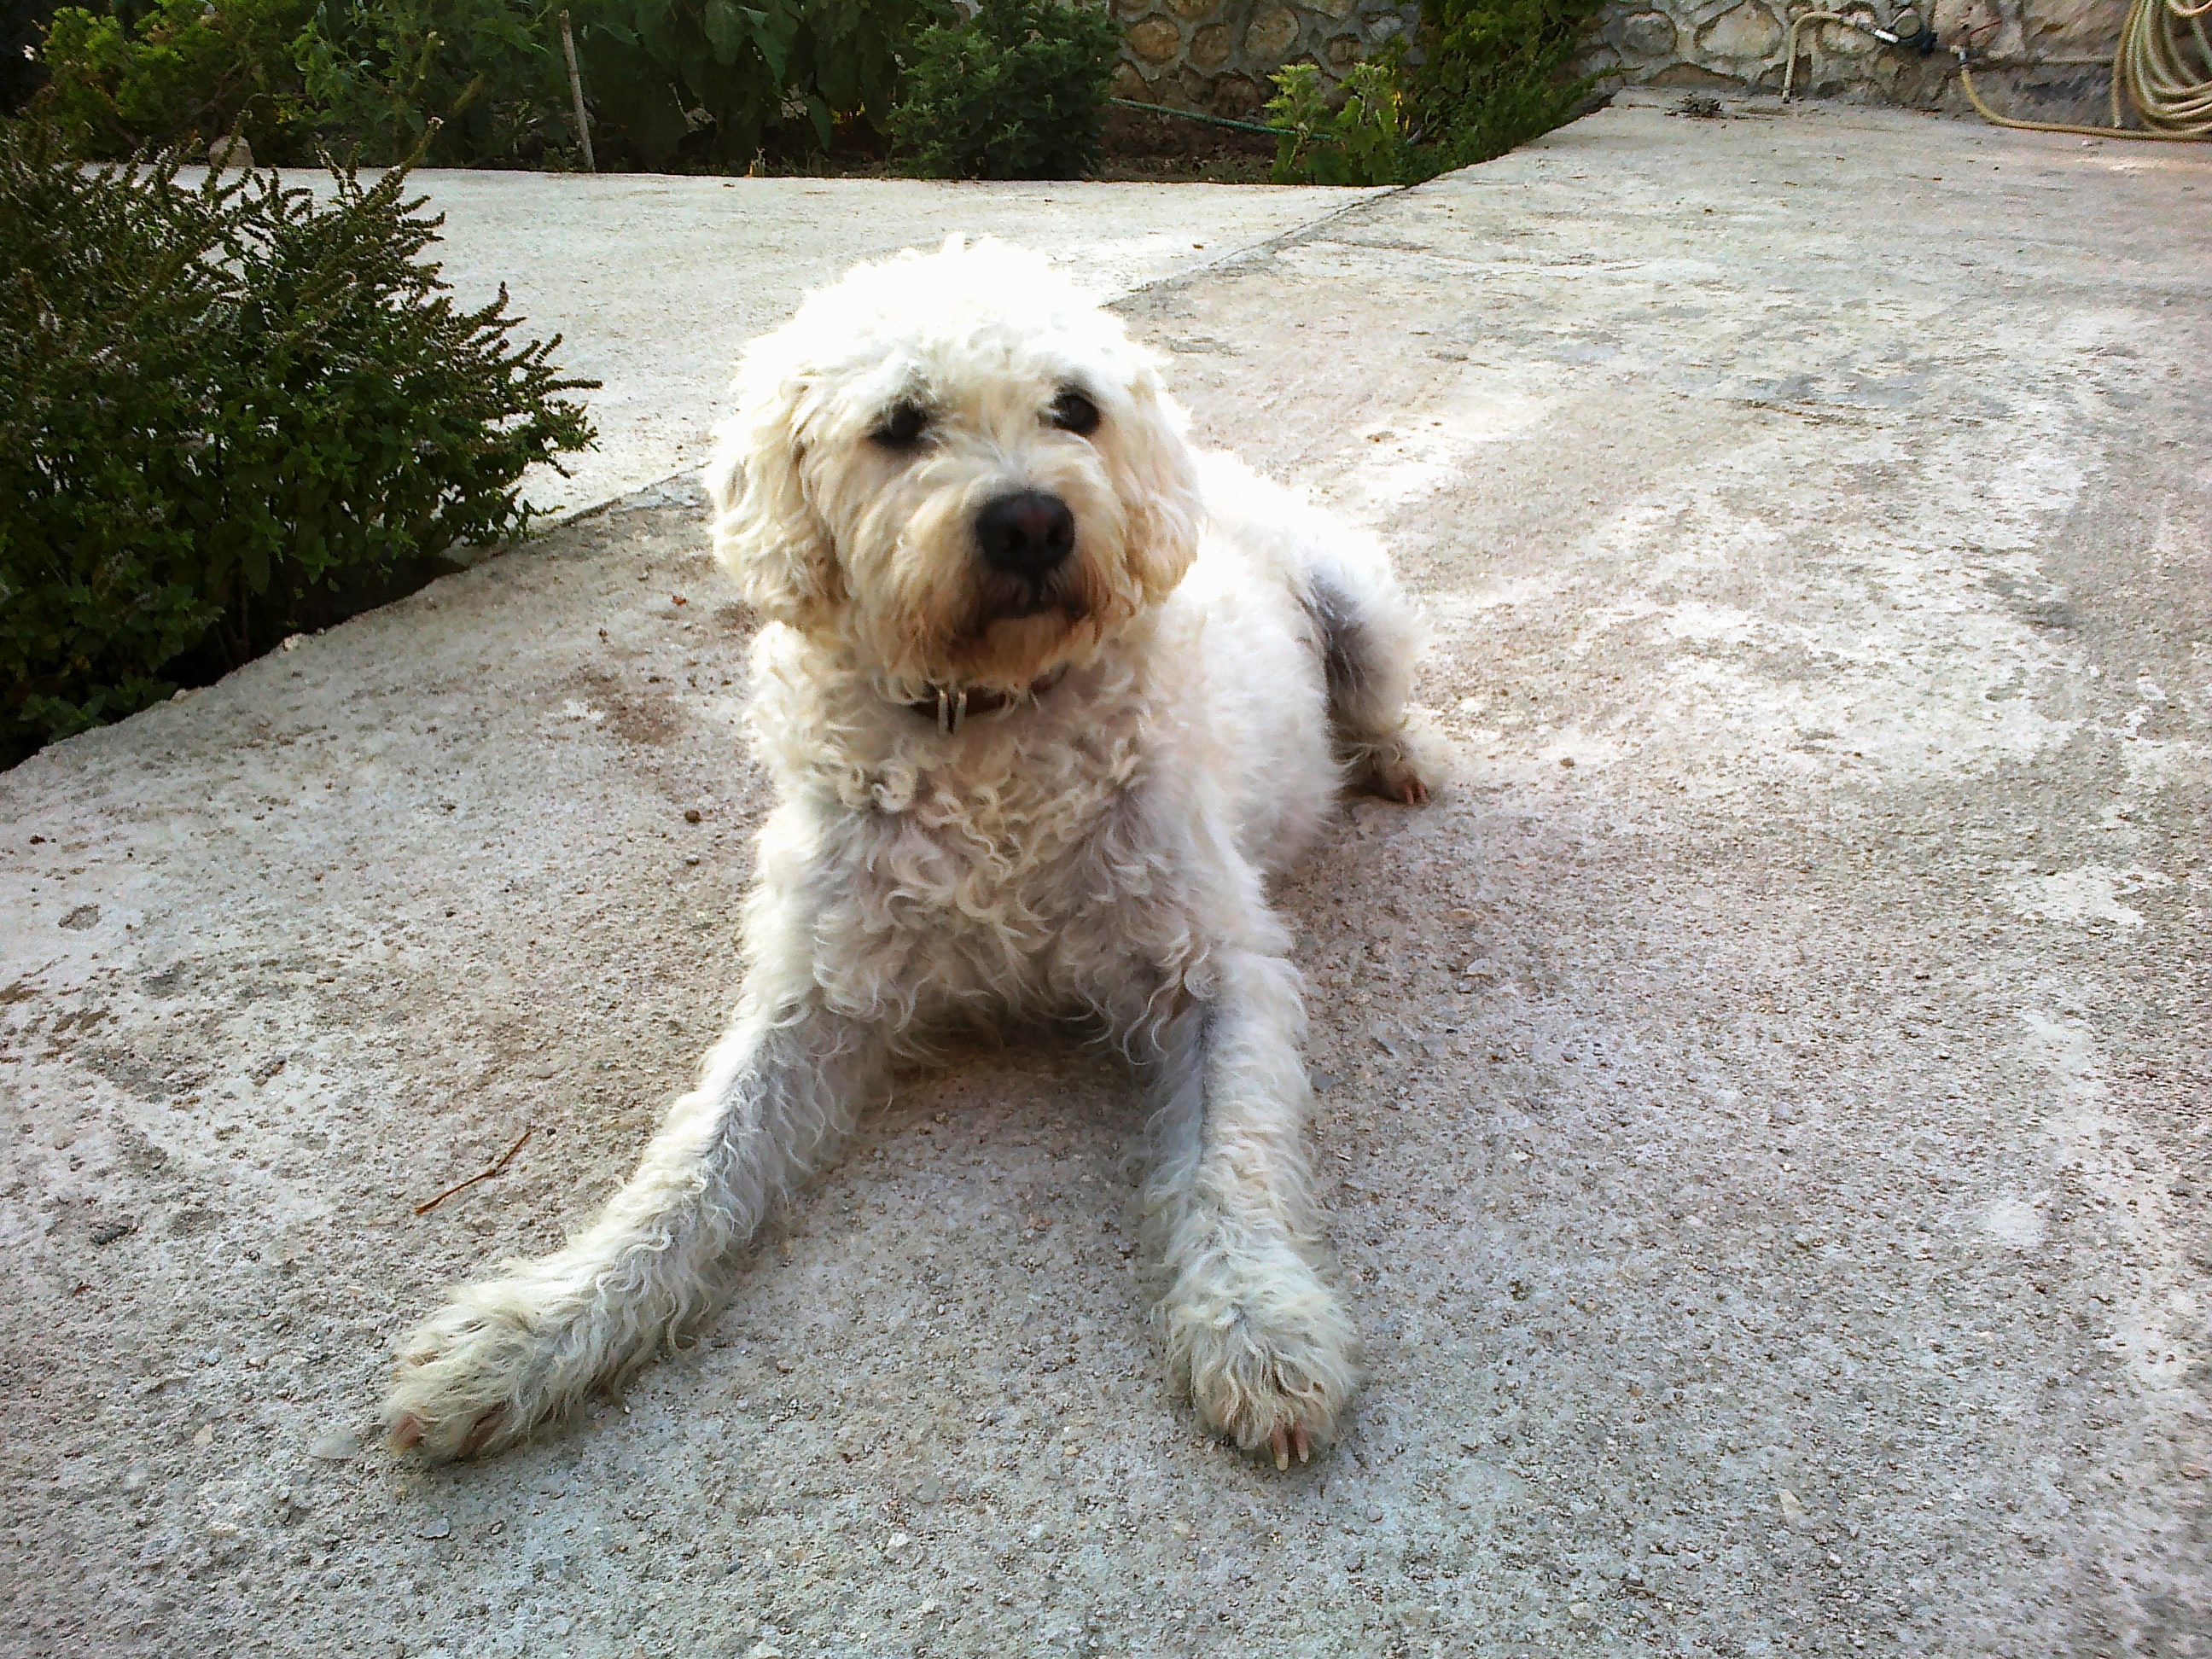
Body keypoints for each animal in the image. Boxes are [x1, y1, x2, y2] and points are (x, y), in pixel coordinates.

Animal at [384, 238, 1428, 1470]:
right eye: (899, 423)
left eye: (1074, 409)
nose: (1031, 522)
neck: (986, 726)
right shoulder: (819, 988)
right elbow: (693, 1165)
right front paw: (540, 1327)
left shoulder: (1217, 968)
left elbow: (1237, 1154)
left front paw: (1259, 1320)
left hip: (1360, 615)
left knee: (1383, 702)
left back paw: (1401, 757)